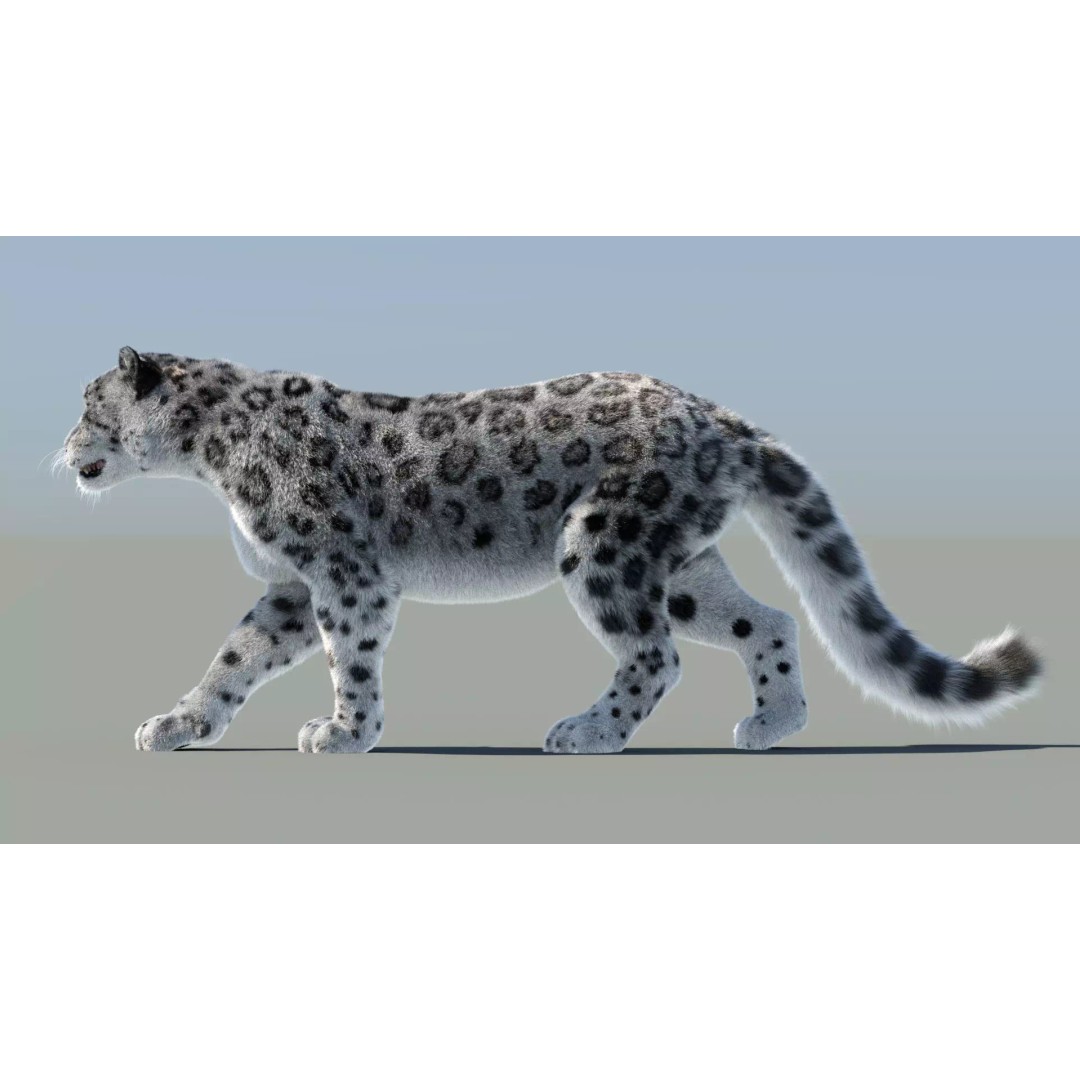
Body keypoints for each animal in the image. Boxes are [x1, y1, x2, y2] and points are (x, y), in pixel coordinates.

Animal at [61, 347, 1043, 752]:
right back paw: (772, 724)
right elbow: (234, 657)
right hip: (680, 564)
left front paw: (345, 732)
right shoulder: (295, 587)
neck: (210, 459)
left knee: (655, 654)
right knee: (764, 621)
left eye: (89, 405)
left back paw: (587, 732)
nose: (66, 449)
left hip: (603, 543)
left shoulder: (343, 574)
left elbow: (351, 659)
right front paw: (179, 724)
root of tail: (717, 416)